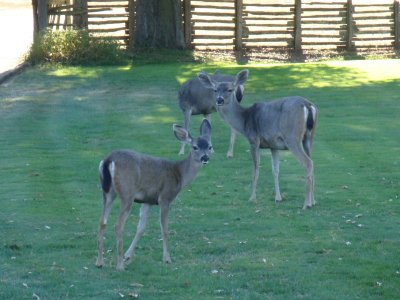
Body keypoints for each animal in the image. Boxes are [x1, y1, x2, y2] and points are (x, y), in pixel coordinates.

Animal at [95, 119, 212, 270]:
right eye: (195, 147)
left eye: (209, 146)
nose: (205, 157)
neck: (179, 175)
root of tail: (108, 160)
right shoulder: (165, 198)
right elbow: (164, 228)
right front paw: (167, 259)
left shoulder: (147, 201)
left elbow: (141, 228)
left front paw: (128, 256)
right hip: (127, 193)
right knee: (118, 225)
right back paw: (119, 266)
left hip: (107, 192)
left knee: (102, 221)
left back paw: (99, 262)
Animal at [198, 69, 318, 209]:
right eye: (215, 90)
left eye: (230, 90)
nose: (219, 100)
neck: (244, 121)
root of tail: (307, 105)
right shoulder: (273, 145)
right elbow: (275, 170)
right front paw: (278, 198)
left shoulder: (254, 140)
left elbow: (255, 170)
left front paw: (252, 198)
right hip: (308, 138)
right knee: (313, 162)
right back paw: (313, 201)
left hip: (292, 137)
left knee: (308, 163)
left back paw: (306, 204)